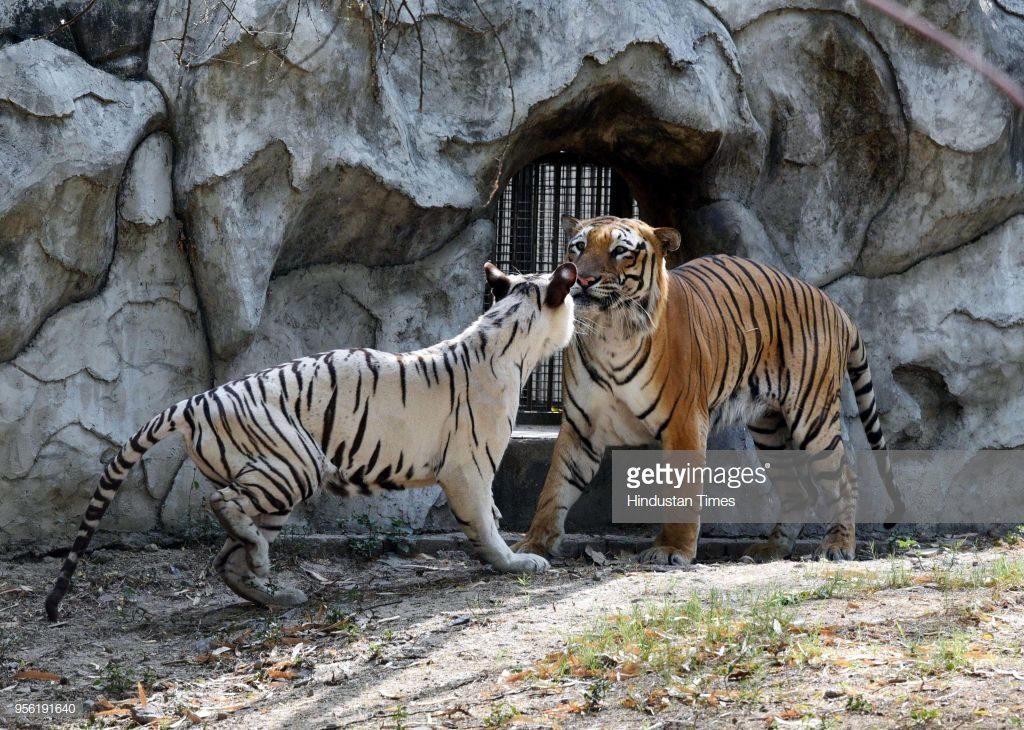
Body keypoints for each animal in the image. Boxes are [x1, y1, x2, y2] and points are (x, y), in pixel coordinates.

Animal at [509, 213, 897, 561]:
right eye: (578, 247)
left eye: (620, 251)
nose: (583, 279)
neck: (610, 331)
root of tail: (832, 304)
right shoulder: (581, 425)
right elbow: (555, 487)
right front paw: (534, 544)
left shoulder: (683, 420)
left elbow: (681, 491)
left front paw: (671, 550)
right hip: (769, 429)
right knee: (798, 491)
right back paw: (771, 549)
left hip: (812, 415)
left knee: (844, 476)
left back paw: (838, 545)